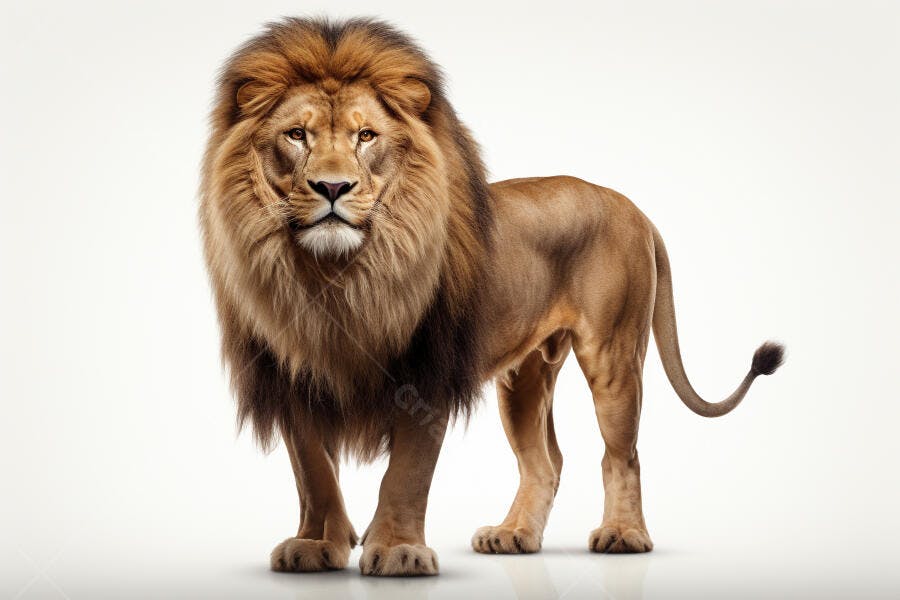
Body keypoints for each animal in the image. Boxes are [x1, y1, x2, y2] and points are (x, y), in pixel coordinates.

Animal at [200, 17, 784, 576]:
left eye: (366, 136)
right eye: (296, 135)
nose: (332, 188)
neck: (335, 276)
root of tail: (633, 207)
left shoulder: (427, 372)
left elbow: (406, 473)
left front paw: (398, 552)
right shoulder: (286, 374)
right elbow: (313, 471)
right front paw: (318, 544)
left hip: (614, 356)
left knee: (623, 454)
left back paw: (623, 535)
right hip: (524, 377)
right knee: (546, 462)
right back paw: (513, 535)